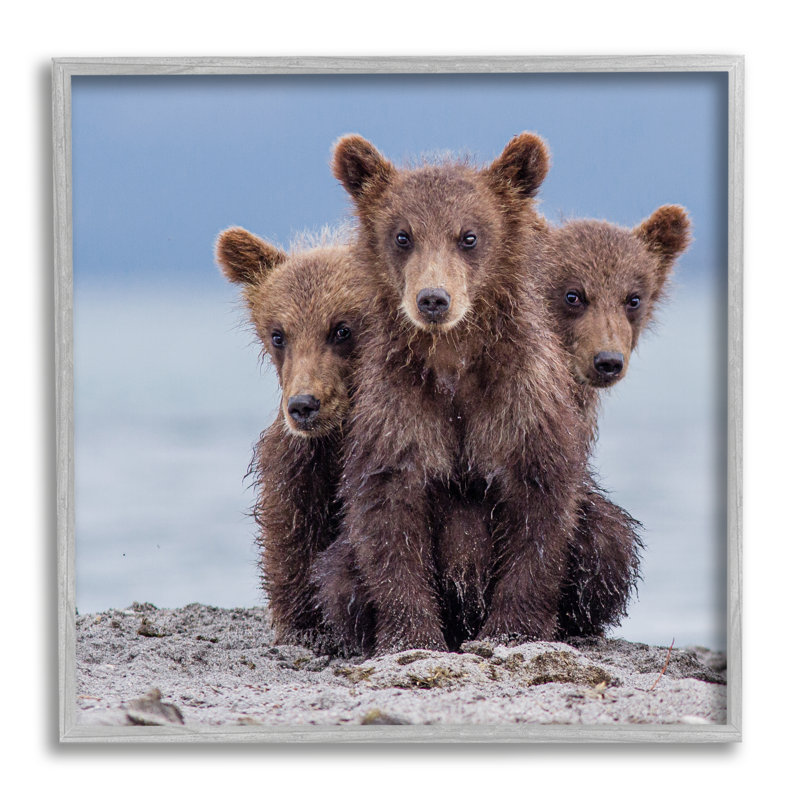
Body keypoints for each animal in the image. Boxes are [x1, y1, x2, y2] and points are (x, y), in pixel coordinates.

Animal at [216, 227, 372, 649]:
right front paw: (304, 625)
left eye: (342, 328)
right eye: (278, 334)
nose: (304, 405)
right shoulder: (303, 456)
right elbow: (292, 521)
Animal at [324, 132, 594, 655]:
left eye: (468, 236)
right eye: (403, 235)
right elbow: (389, 516)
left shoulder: (519, 401)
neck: (453, 360)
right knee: (337, 578)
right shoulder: (398, 406)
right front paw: (410, 636)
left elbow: (539, 509)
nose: (433, 299)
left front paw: (513, 630)